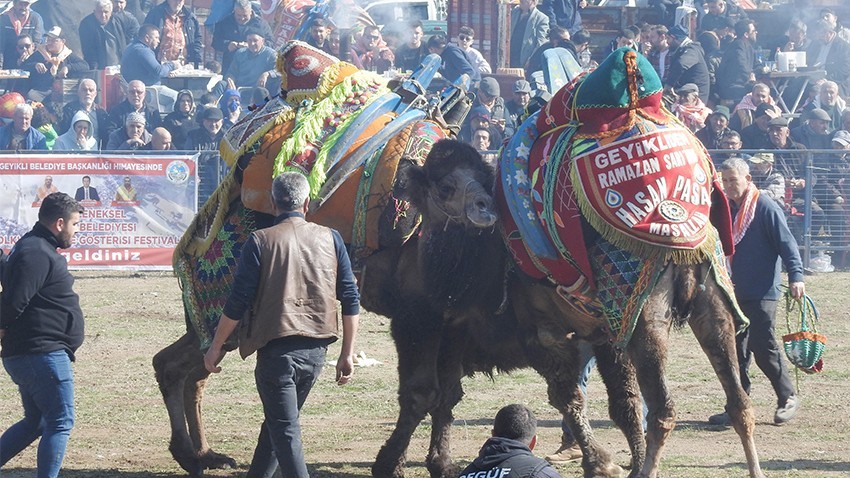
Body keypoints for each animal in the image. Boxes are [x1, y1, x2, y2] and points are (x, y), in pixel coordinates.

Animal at [394, 135, 764, 478]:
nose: (484, 208)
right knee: (739, 402)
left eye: (479, 181)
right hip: (712, 300)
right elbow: (624, 402)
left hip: (647, 315)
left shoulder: (545, 335)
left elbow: (567, 398)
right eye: (444, 186)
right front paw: (623, 460)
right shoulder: (606, 335)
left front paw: (602, 463)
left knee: (664, 410)